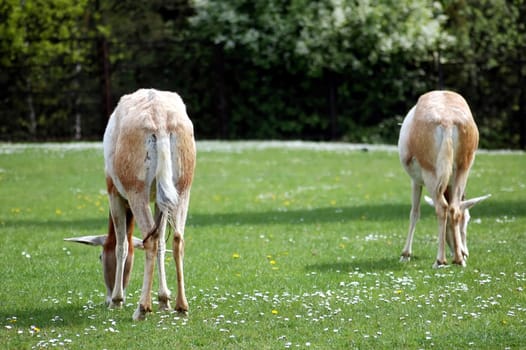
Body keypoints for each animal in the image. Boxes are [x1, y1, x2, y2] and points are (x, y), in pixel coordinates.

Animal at [66, 88, 197, 320]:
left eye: (100, 256)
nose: (107, 297)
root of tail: (160, 120)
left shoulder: (114, 192)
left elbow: (122, 245)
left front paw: (117, 300)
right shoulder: (160, 200)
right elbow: (162, 241)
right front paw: (164, 300)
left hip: (136, 191)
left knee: (149, 240)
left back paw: (142, 309)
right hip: (182, 188)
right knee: (176, 238)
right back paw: (181, 307)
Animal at [400, 91, 490, 268]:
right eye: (467, 220)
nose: (465, 252)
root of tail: (447, 121)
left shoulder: (416, 181)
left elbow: (414, 213)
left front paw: (405, 255)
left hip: (430, 174)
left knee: (442, 207)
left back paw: (440, 260)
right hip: (463, 169)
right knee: (454, 208)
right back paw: (458, 260)